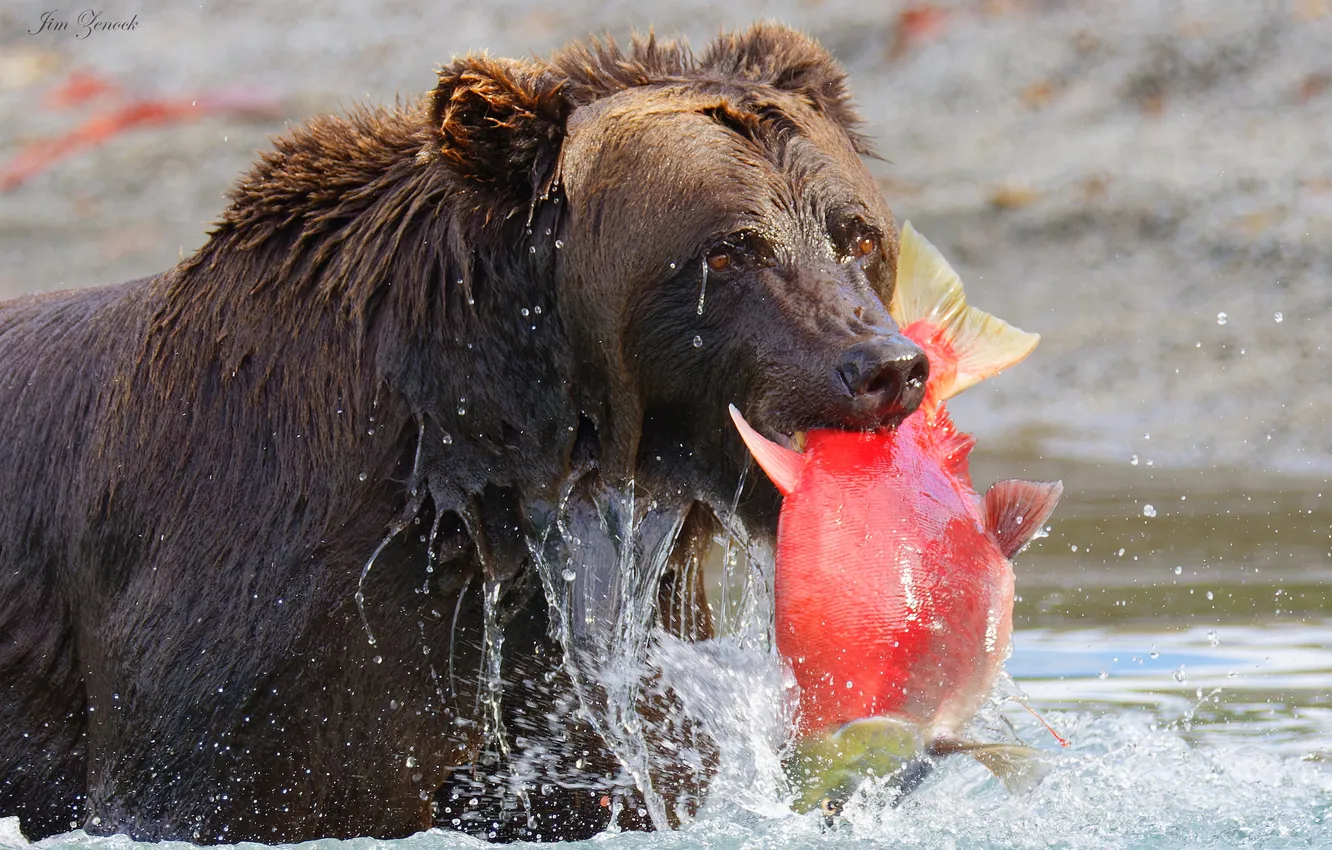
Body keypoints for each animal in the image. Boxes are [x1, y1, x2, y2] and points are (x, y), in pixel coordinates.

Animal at [0, 23, 928, 844]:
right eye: (730, 252)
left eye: (855, 236)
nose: (883, 366)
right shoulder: (254, 616)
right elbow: (210, 781)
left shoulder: (572, 668)